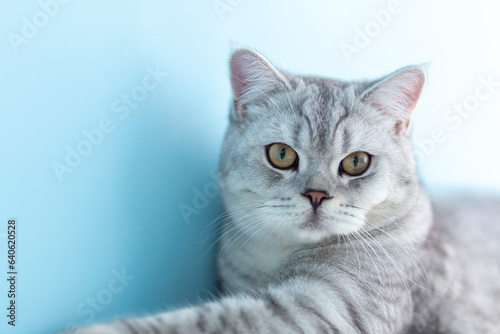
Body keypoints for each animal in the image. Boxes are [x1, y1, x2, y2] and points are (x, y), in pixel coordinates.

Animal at [73, 47, 500, 334]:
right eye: (281, 154)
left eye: (356, 162)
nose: (316, 195)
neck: (274, 258)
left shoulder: (317, 311)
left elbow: (206, 320)